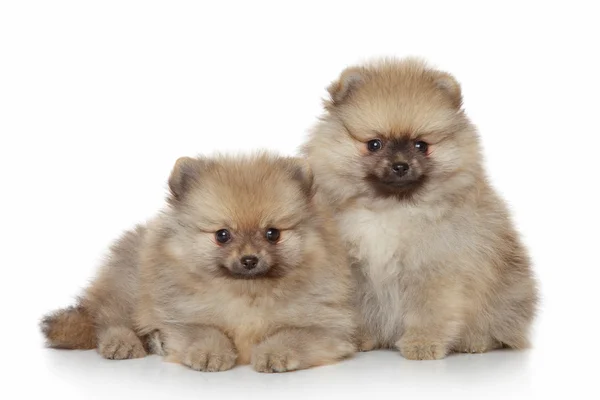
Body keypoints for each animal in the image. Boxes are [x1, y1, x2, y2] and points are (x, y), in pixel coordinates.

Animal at [42, 152, 356, 372]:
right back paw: (123, 342)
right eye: (222, 235)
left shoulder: (327, 324)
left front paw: (275, 352)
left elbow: (293, 335)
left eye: (272, 233)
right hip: (130, 287)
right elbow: (205, 330)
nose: (249, 259)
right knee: (107, 318)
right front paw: (210, 353)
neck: (246, 291)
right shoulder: (182, 313)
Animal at [304, 58, 540, 360]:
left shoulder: (435, 268)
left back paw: (474, 341)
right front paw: (358, 338)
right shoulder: (355, 272)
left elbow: (430, 311)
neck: (391, 208)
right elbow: (356, 308)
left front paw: (423, 344)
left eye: (421, 145)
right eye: (374, 144)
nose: (400, 165)